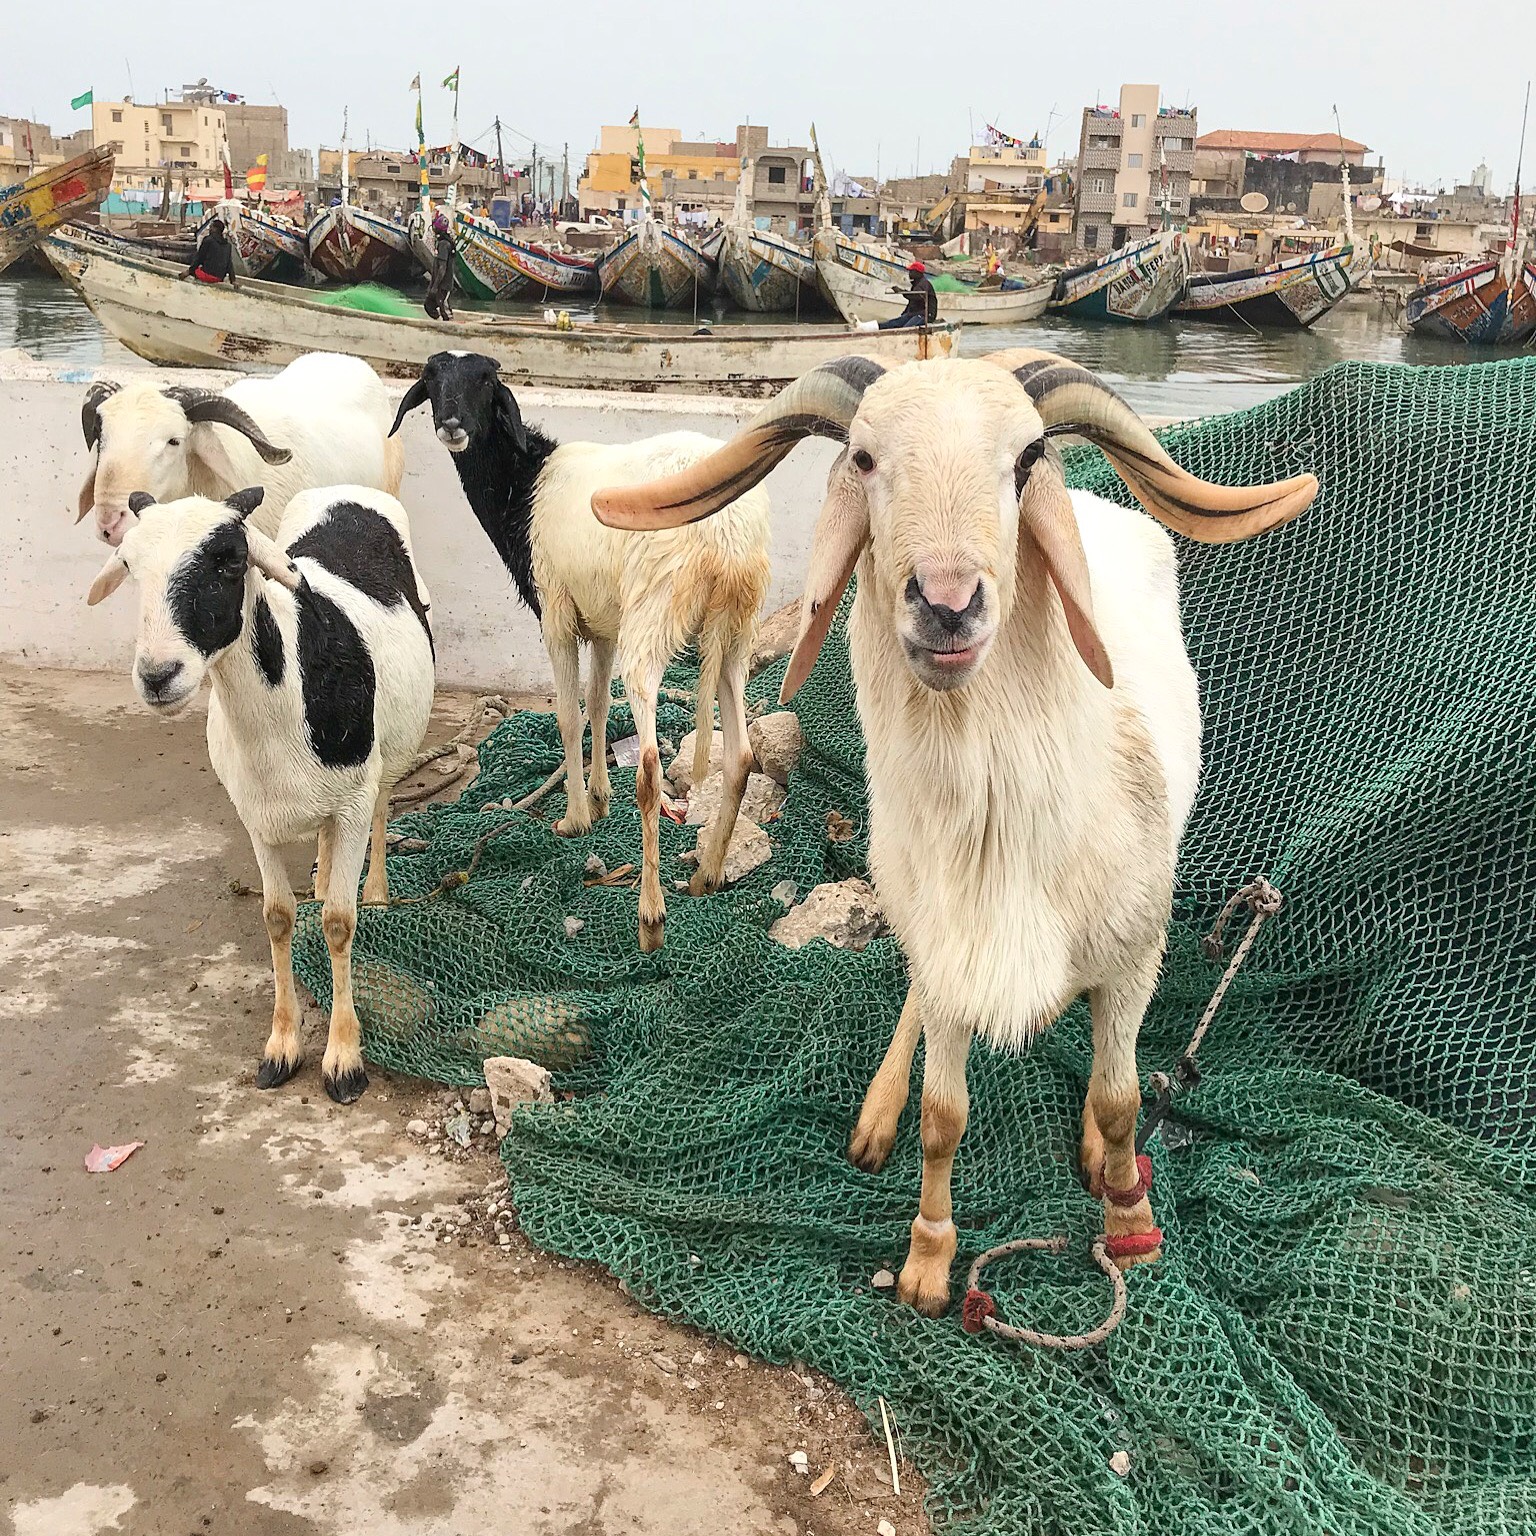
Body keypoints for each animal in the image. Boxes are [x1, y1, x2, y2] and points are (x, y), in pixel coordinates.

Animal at [84, 485, 436, 1099]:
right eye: (129, 566)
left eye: (228, 560)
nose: (157, 677)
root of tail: (347, 491)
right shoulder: (255, 815)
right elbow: (277, 916)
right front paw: (282, 1045)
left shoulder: (351, 800)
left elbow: (339, 923)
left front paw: (344, 1059)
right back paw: (322, 876)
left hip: (387, 757)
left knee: (383, 807)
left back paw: (375, 890)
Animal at [384, 351, 768, 946]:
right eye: (431, 380)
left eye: (487, 382)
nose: (450, 425)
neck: (526, 484)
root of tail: (726, 537)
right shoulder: (603, 622)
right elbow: (598, 704)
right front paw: (599, 798)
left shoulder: (558, 615)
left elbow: (568, 713)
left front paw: (575, 816)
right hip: (734, 633)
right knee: (741, 756)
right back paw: (707, 874)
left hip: (654, 615)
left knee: (651, 765)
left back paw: (651, 917)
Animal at [592, 353, 1314, 1314]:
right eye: (863, 458)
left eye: (1028, 456)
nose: (947, 604)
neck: (1011, 830)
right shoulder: (946, 941)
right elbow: (945, 1115)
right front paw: (928, 1260)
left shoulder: (1136, 947)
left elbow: (1123, 1098)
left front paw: (1128, 1220)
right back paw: (876, 1113)